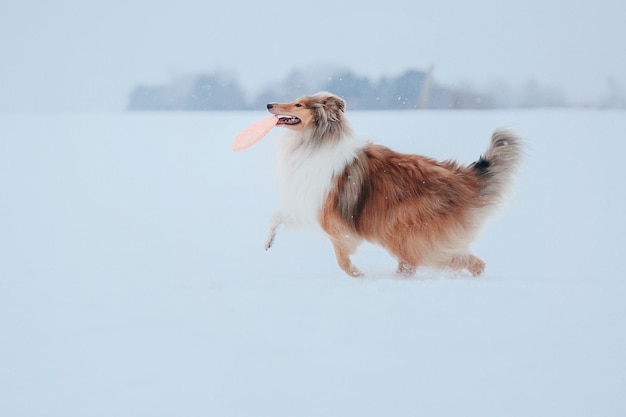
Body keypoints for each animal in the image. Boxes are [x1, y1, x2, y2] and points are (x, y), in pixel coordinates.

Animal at [260, 91, 520, 276]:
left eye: (299, 105)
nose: (269, 104)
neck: (314, 142)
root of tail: (464, 178)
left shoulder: (333, 221)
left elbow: (342, 259)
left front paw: (358, 275)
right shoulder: (309, 205)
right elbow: (277, 215)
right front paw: (267, 243)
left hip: (401, 230)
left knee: (441, 262)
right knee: (469, 261)